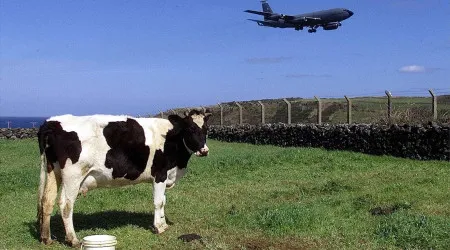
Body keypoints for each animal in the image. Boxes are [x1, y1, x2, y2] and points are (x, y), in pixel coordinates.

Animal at [36, 109, 211, 246]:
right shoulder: (160, 174)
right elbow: (158, 202)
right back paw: (73, 240)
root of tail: (51, 122)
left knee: (47, 201)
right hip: (73, 175)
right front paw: (159, 227)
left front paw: (163, 224)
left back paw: (46, 238)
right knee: (66, 205)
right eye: (190, 128)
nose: (204, 151)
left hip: (53, 171)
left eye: (206, 129)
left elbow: (163, 201)